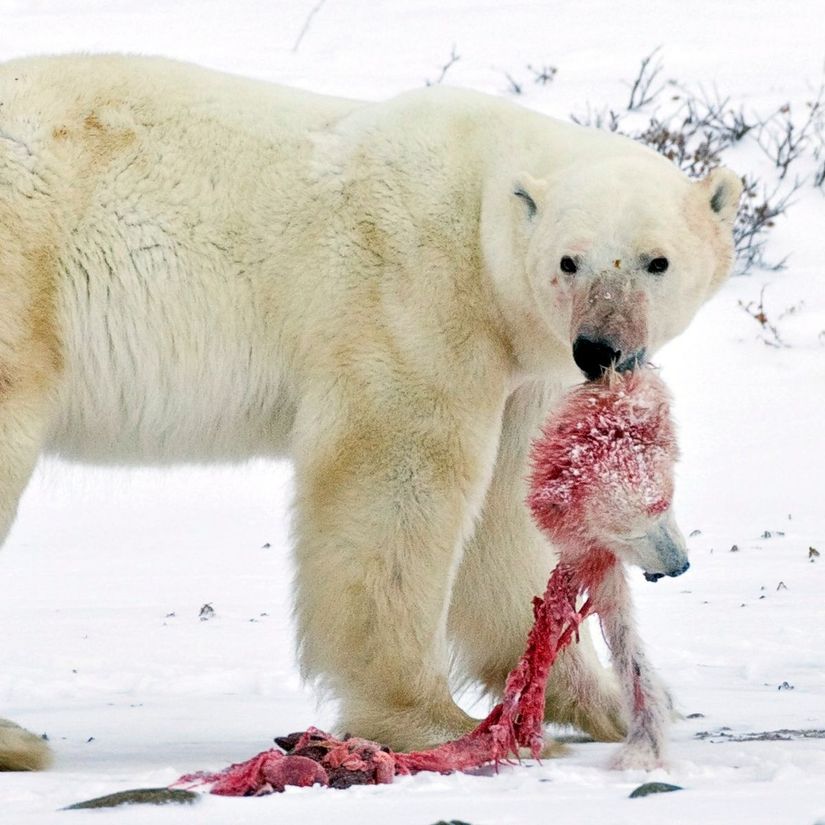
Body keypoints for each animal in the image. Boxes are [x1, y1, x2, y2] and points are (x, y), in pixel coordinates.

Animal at [0, 54, 740, 768]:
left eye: (656, 261)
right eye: (568, 260)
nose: (599, 348)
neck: (479, 208)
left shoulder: (520, 369)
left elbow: (505, 518)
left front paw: (605, 701)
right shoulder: (415, 296)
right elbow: (394, 481)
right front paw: (430, 721)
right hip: (27, 275)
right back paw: (20, 742)